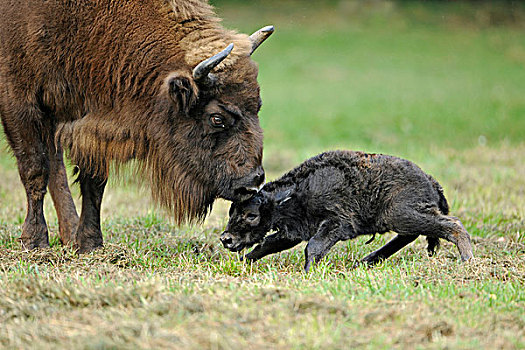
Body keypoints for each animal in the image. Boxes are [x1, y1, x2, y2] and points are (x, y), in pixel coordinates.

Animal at [2, 0, 274, 252]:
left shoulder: (88, 121)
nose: (252, 182)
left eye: (258, 106)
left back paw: (69, 233)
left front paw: (90, 244)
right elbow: (35, 169)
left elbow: (93, 181)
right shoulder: (19, 101)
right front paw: (34, 241)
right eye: (216, 118)